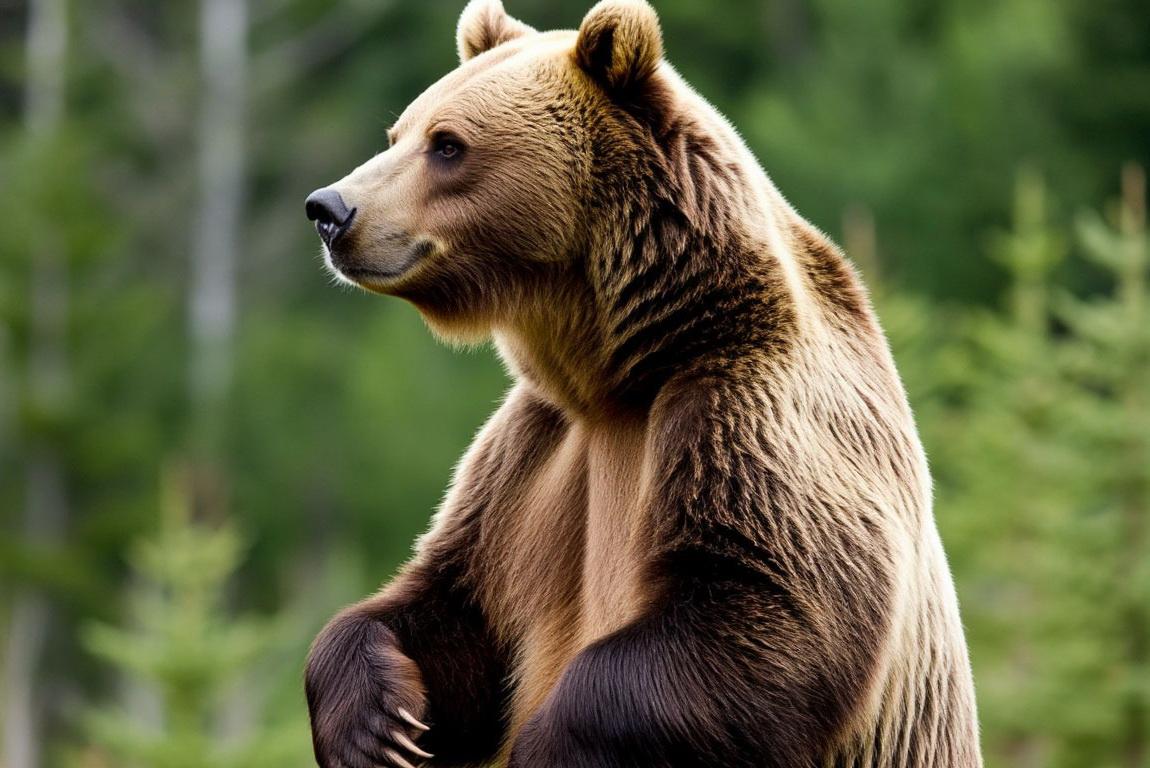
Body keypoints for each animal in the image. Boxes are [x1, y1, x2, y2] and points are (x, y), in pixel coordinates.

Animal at [302, 1, 982, 766]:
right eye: (398, 133)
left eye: (448, 144)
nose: (330, 209)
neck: (617, 370)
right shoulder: (533, 457)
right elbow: (454, 604)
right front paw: (378, 724)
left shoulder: (748, 408)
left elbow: (775, 607)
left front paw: (545, 744)